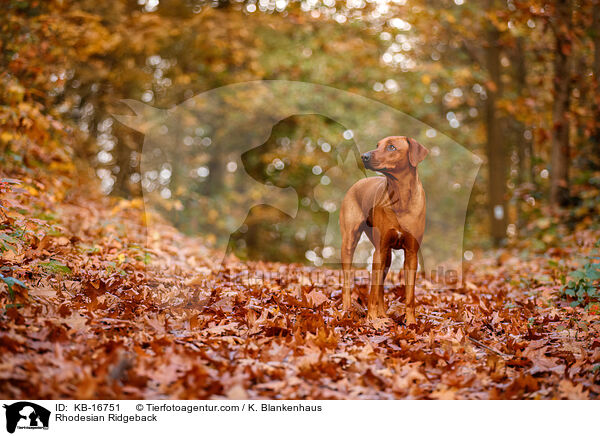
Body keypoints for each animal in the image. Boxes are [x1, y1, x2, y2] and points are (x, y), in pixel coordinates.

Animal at [340, 136, 428, 324]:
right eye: (377, 145)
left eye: (391, 147)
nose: (364, 156)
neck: (400, 196)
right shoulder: (379, 250)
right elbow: (372, 291)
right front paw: (371, 320)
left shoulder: (411, 253)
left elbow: (410, 295)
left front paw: (411, 322)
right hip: (350, 243)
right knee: (348, 281)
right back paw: (347, 309)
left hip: (386, 255)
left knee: (380, 286)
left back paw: (383, 315)